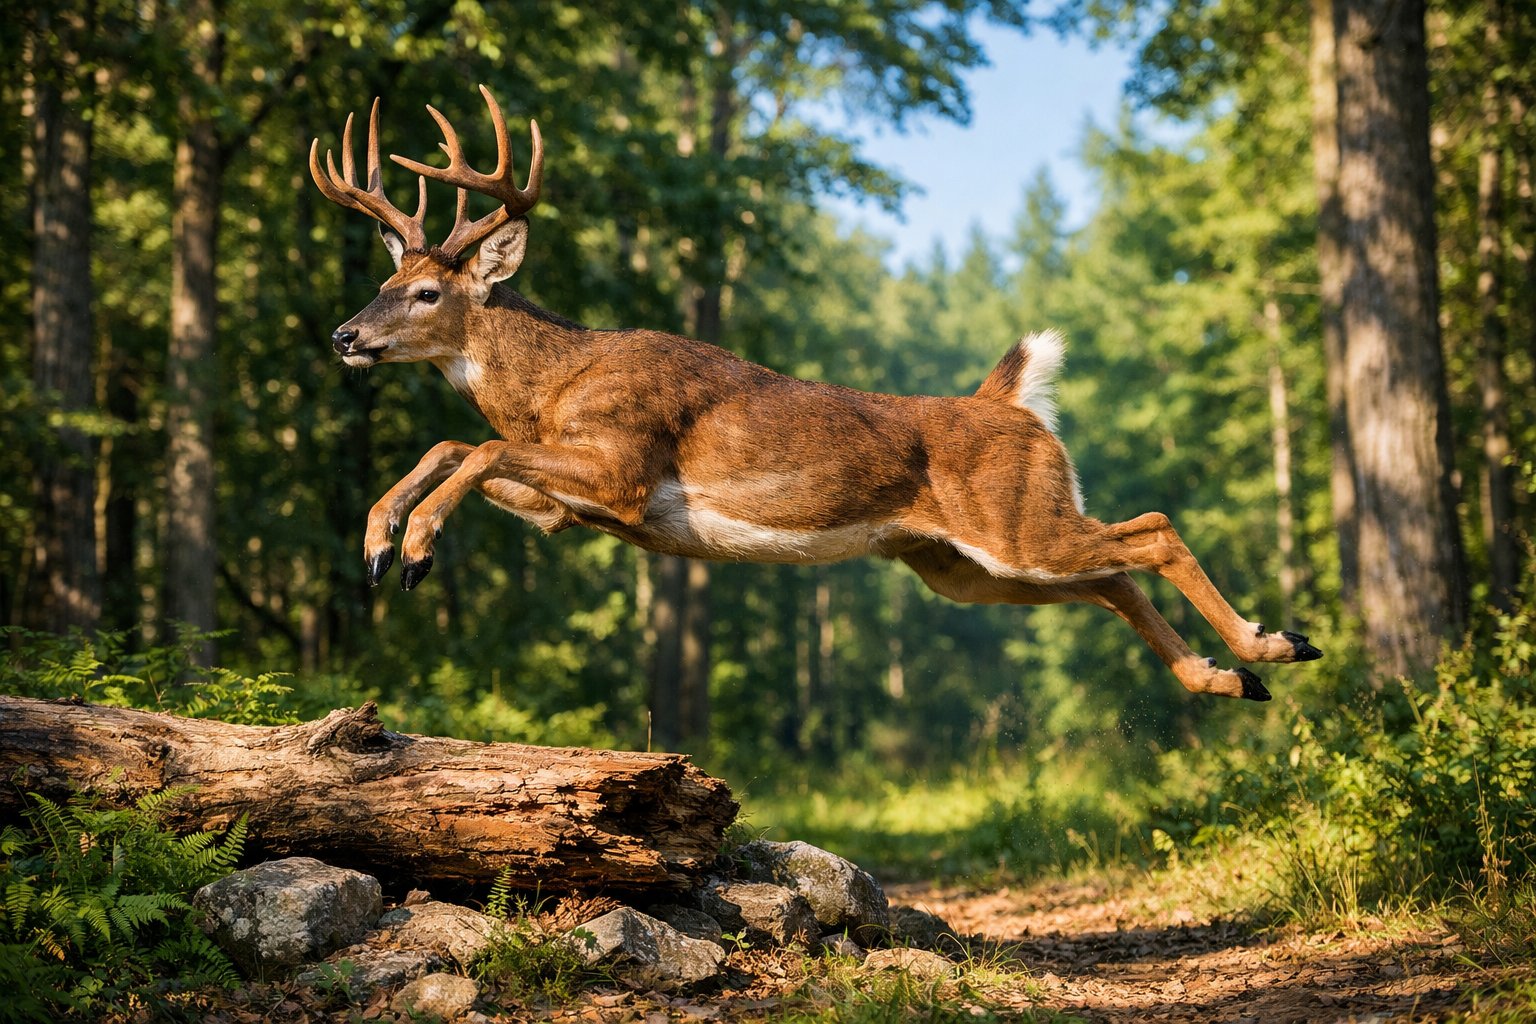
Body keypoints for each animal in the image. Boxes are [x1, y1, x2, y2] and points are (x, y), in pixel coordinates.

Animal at [310, 86, 1322, 703]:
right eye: (384, 279)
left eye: (426, 292)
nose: (344, 336)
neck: (553, 383)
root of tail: (1011, 403)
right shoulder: (571, 506)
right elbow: (457, 446)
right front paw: (378, 540)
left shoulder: (625, 466)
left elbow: (475, 446)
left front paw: (415, 546)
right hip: (964, 565)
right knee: (1112, 576)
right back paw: (1231, 678)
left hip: (1014, 524)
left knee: (1150, 530)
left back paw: (1273, 645)